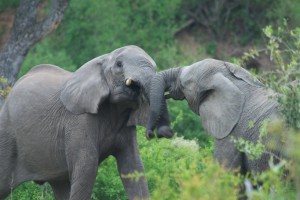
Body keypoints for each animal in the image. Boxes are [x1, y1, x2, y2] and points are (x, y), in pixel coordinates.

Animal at [0, 45, 173, 200]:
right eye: (119, 64)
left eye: (155, 66)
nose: (154, 134)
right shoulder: (80, 119)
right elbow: (87, 167)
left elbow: (133, 166)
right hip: (7, 132)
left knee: (60, 184)